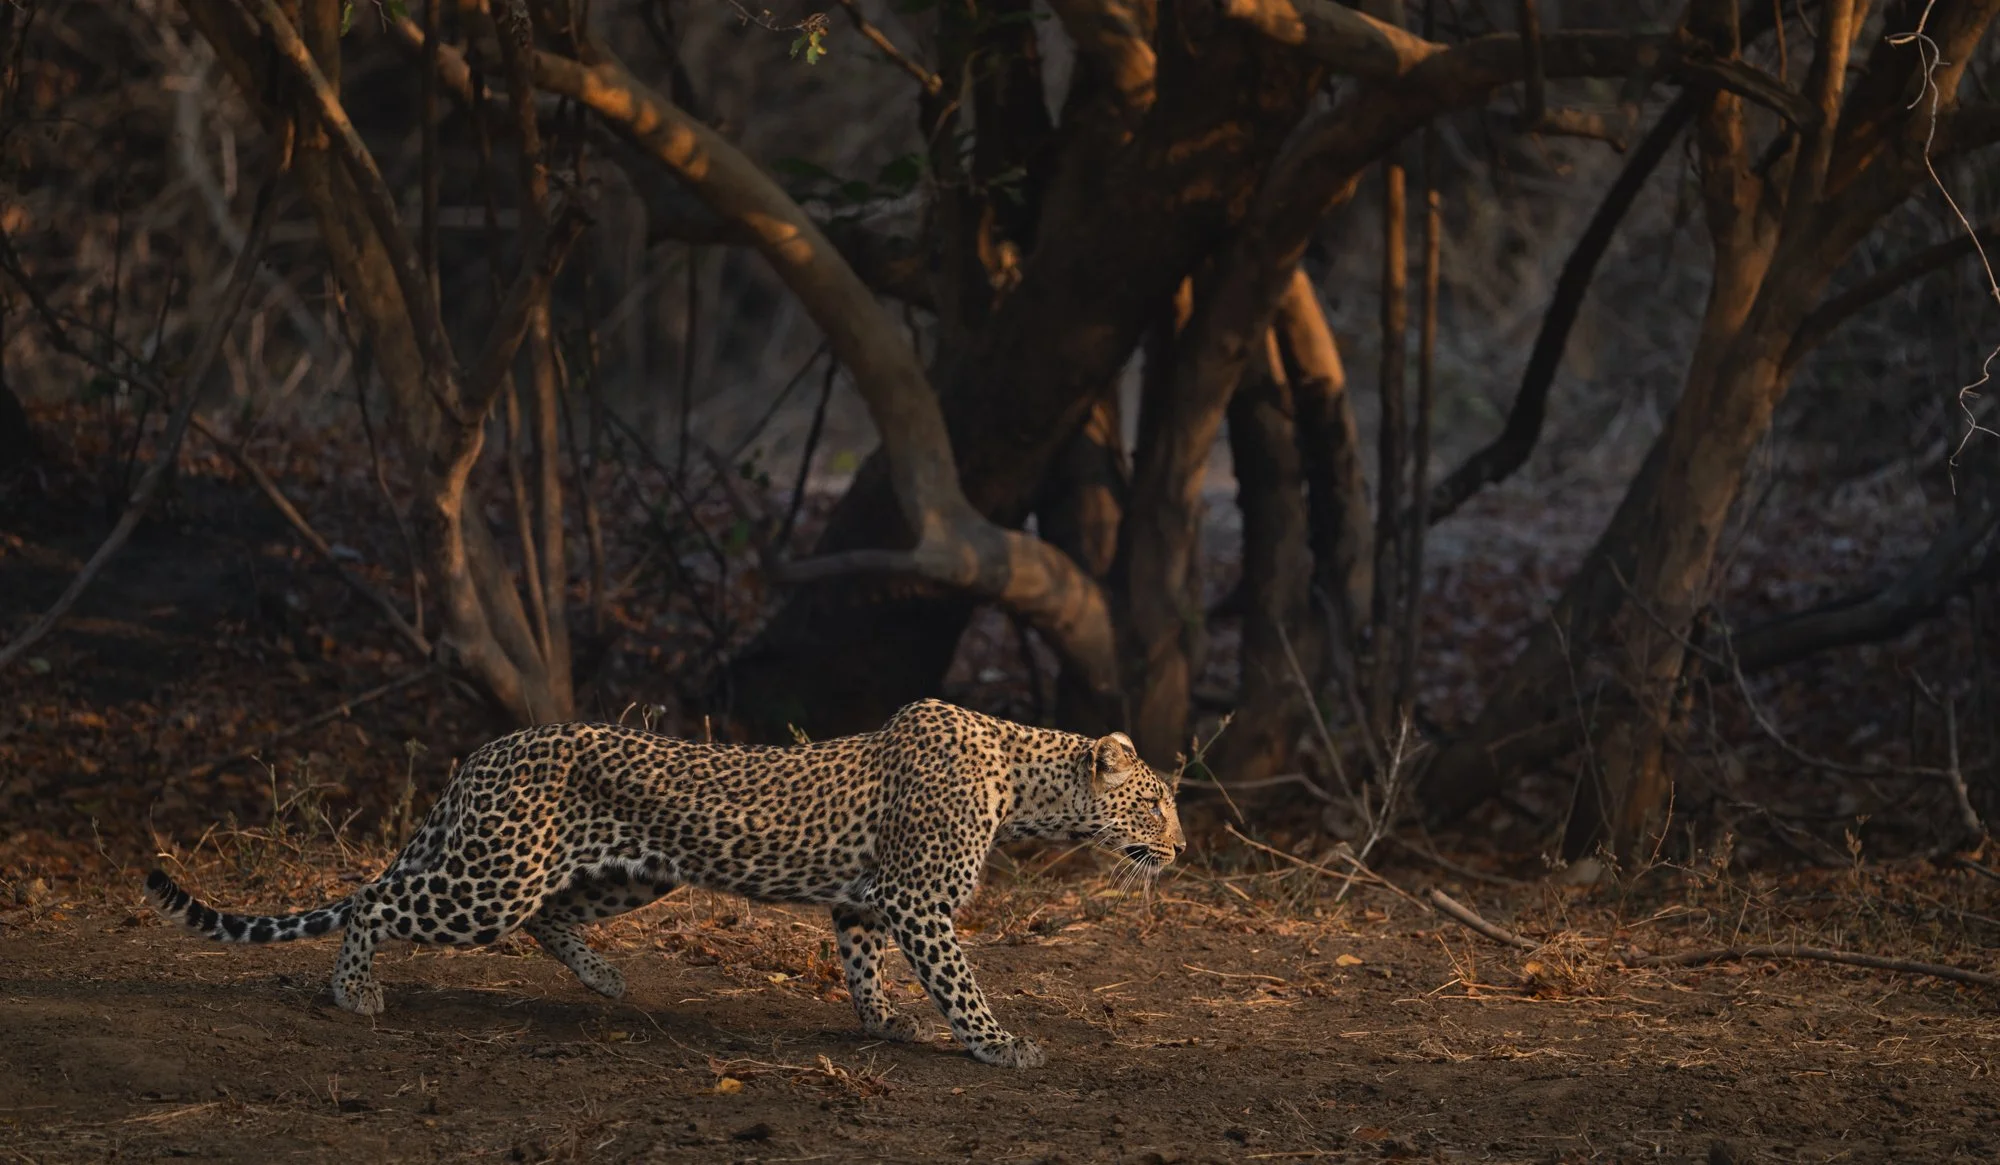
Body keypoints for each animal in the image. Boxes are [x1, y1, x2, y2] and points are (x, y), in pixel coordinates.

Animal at [144, 698, 1185, 1068]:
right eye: (1156, 807)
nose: (1178, 852)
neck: (1023, 779)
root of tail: (485, 749)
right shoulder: (920, 902)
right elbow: (960, 984)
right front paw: (1000, 1044)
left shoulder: (864, 901)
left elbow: (863, 967)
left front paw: (884, 1022)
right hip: (491, 876)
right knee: (373, 903)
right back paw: (355, 990)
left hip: (621, 873)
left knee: (551, 921)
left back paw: (608, 979)